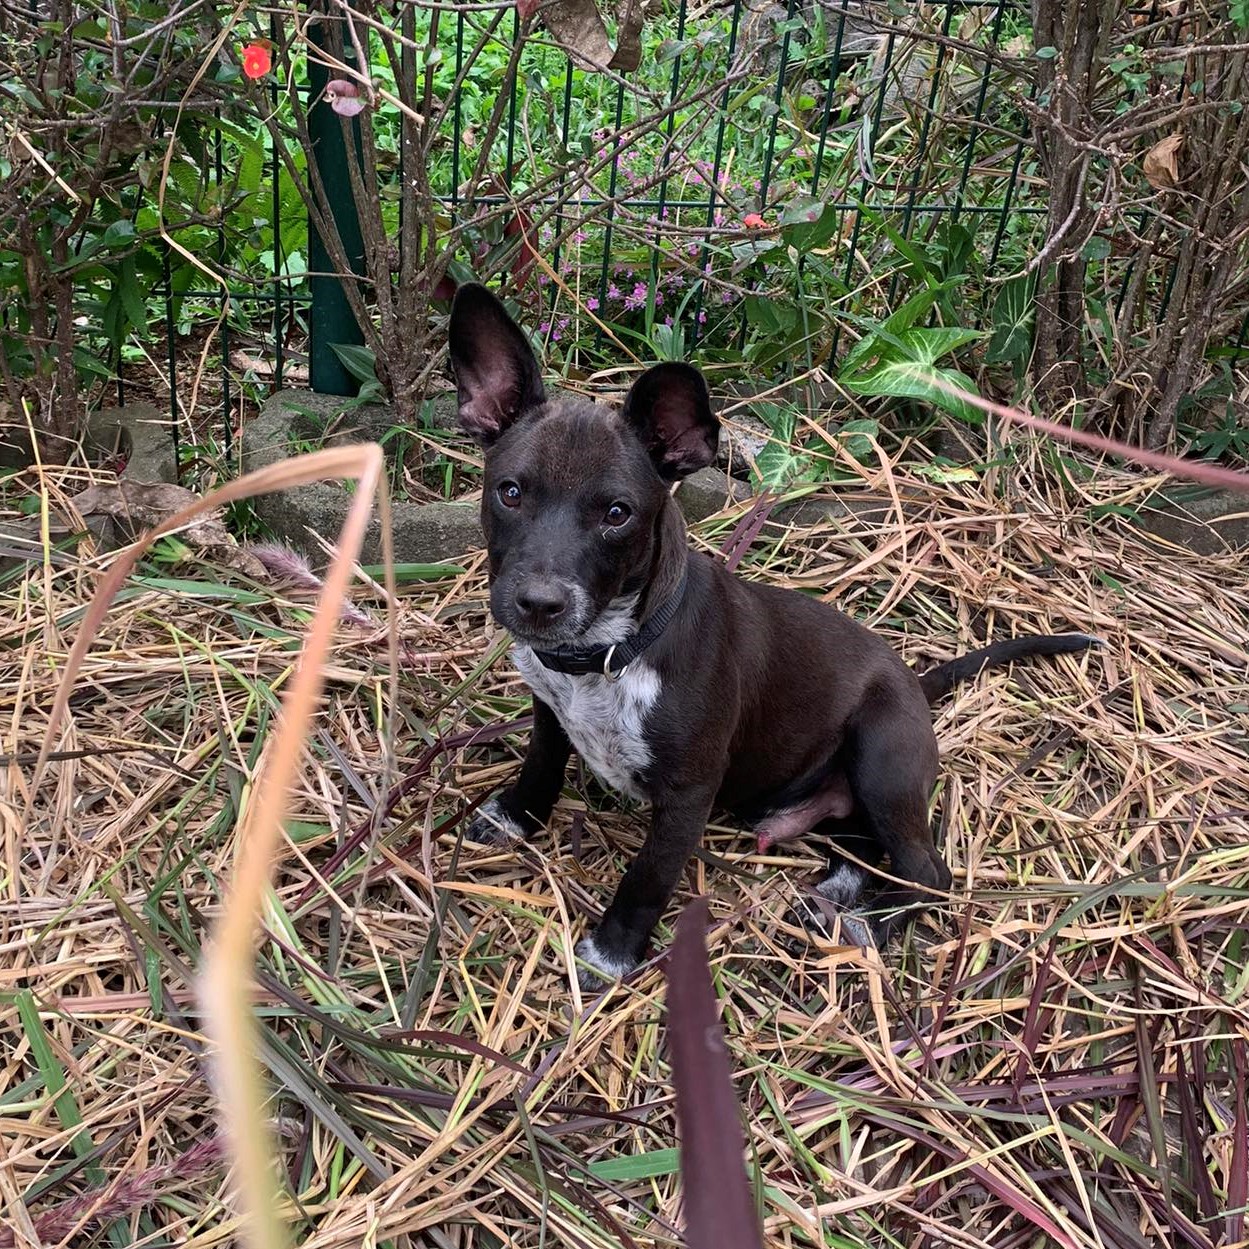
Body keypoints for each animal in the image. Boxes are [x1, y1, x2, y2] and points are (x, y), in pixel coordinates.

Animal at [449, 281, 1094, 984]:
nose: (539, 605)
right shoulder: (549, 707)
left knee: (928, 872)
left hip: (881, 758)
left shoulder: (687, 795)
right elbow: (541, 764)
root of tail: (915, 686)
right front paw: (515, 816)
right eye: (510, 493)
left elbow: (647, 877)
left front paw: (611, 953)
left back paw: (868, 923)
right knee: (861, 846)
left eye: (618, 514)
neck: (608, 655)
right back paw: (837, 895)